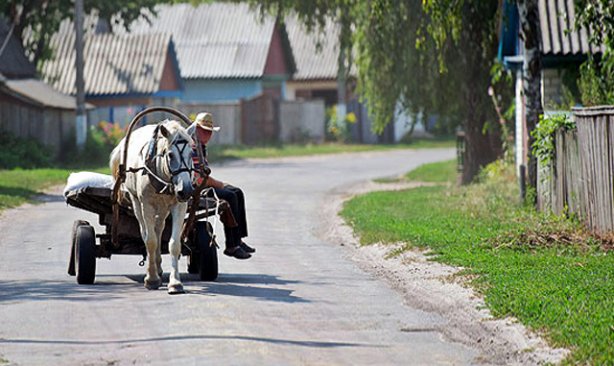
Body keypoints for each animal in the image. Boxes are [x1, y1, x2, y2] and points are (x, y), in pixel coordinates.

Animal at [110, 120, 195, 294]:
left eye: (191, 154)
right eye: (170, 155)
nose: (186, 190)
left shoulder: (179, 205)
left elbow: (174, 244)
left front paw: (175, 283)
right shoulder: (147, 205)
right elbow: (150, 241)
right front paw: (151, 279)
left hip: (162, 208)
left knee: (159, 228)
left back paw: (158, 265)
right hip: (137, 203)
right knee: (146, 232)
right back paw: (153, 269)